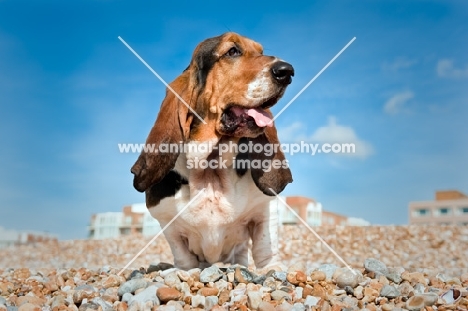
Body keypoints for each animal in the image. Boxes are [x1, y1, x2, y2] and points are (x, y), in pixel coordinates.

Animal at [132, 32, 292, 270]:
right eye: (232, 51)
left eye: (261, 51)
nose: (287, 71)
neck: (211, 173)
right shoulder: (166, 222)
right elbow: (183, 256)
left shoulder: (265, 208)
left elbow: (265, 247)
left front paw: (271, 269)